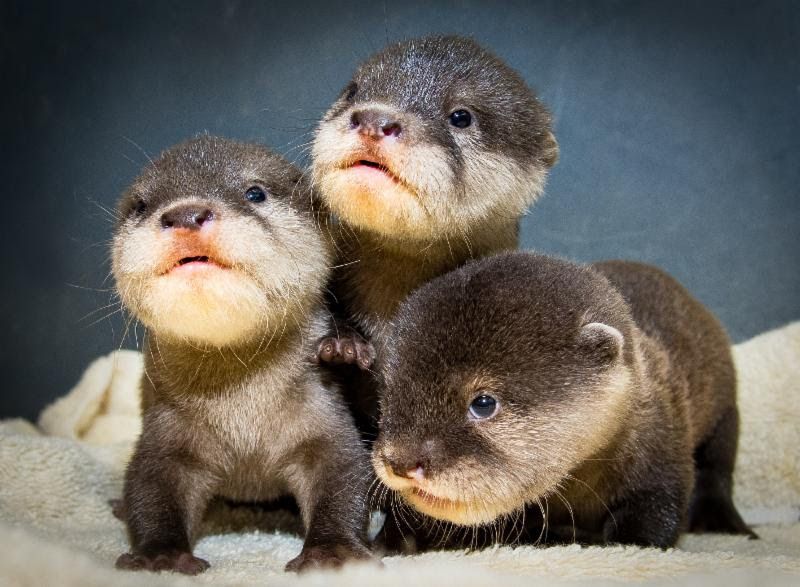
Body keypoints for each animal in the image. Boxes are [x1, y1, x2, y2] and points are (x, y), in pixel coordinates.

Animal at [111, 136, 373, 573]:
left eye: (255, 193)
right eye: (142, 205)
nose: (186, 213)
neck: (243, 417)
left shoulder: (323, 415)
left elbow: (344, 475)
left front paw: (331, 552)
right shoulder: (165, 431)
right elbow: (150, 487)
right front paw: (160, 556)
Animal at [372, 251, 755, 551]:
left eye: (483, 403)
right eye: (389, 392)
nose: (401, 461)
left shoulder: (661, 443)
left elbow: (653, 519)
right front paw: (396, 538)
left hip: (724, 410)